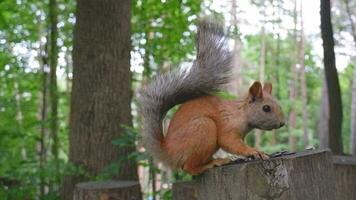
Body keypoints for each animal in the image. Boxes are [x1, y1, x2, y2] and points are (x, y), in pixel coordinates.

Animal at [138, 19, 286, 174]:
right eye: (266, 108)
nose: (282, 123)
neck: (241, 113)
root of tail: (168, 152)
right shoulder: (228, 127)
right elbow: (230, 142)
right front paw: (254, 151)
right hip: (203, 128)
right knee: (189, 168)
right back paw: (212, 163)